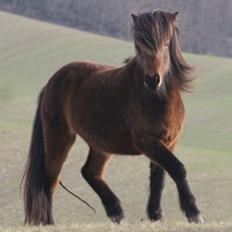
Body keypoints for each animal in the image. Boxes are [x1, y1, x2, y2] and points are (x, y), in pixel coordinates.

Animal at [22, 10, 203, 225]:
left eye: (166, 44)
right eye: (140, 45)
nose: (152, 80)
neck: (156, 99)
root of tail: (50, 82)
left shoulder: (168, 142)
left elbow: (159, 178)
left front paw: (155, 215)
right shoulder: (148, 142)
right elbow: (177, 168)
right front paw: (193, 212)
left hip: (100, 145)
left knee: (90, 172)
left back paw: (116, 212)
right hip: (59, 138)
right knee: (50, 181)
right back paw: (49, 223)